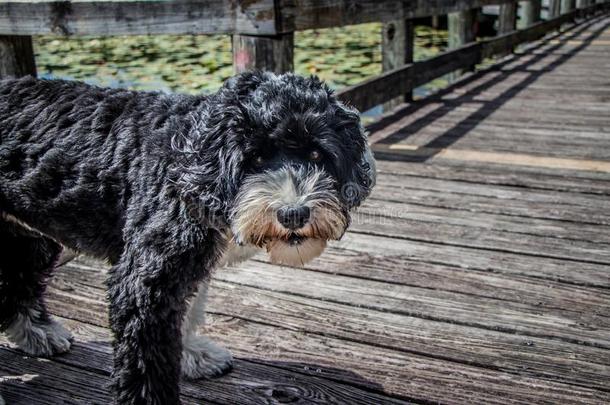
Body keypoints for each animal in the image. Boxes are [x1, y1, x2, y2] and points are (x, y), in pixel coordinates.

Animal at [0, 71, 372, 402]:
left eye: (316, 154)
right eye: (255, 157)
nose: (293, 213)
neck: (191, 163)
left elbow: (188, 312)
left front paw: (193, 357)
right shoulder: (144, 283)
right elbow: (147, 366)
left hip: (27, 237)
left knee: (19, 281)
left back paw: (38, 333)